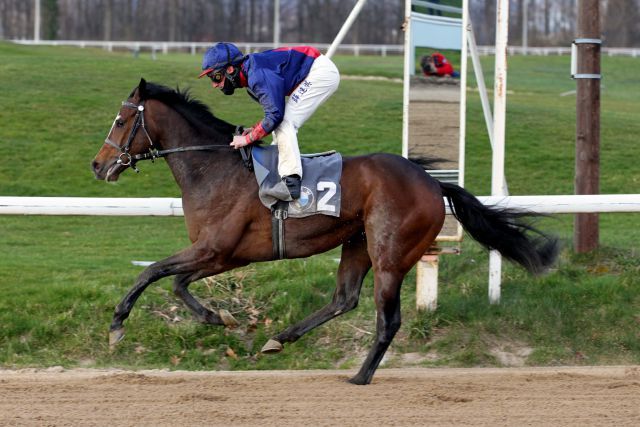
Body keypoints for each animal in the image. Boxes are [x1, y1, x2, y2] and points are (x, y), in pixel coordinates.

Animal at [90, 78, 556, 386]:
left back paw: (361, 375)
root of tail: (432, 183)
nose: (98, 165)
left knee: (388, 318)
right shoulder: (223, 255)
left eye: (120, 120)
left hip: (390, 252)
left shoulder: (216, 250)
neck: (214, 168)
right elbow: (175, 281)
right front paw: (217, 317)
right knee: (344, 298)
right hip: (358, 243)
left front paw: (119, 325)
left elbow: (153, 273)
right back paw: (280, 339)